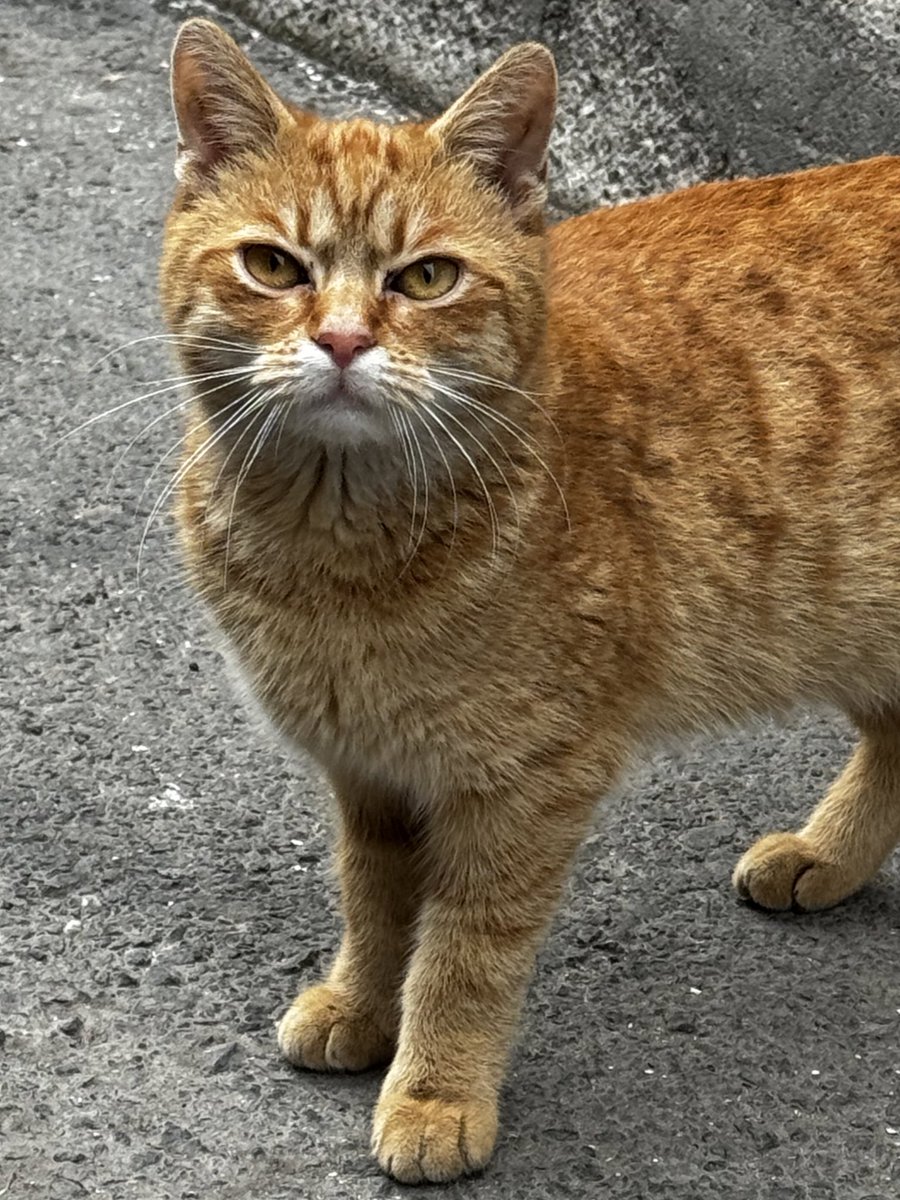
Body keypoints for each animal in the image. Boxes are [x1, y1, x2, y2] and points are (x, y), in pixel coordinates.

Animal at [164, 16, 900, 1180]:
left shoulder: (525, 782)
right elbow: (376, 906)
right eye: (273, 265)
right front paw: (362, 1009)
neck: (339, 561)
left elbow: (464, 952)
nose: (341, 340)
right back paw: (828, 853)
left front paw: (435, 1090)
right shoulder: (370, 771)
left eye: (426, 278)